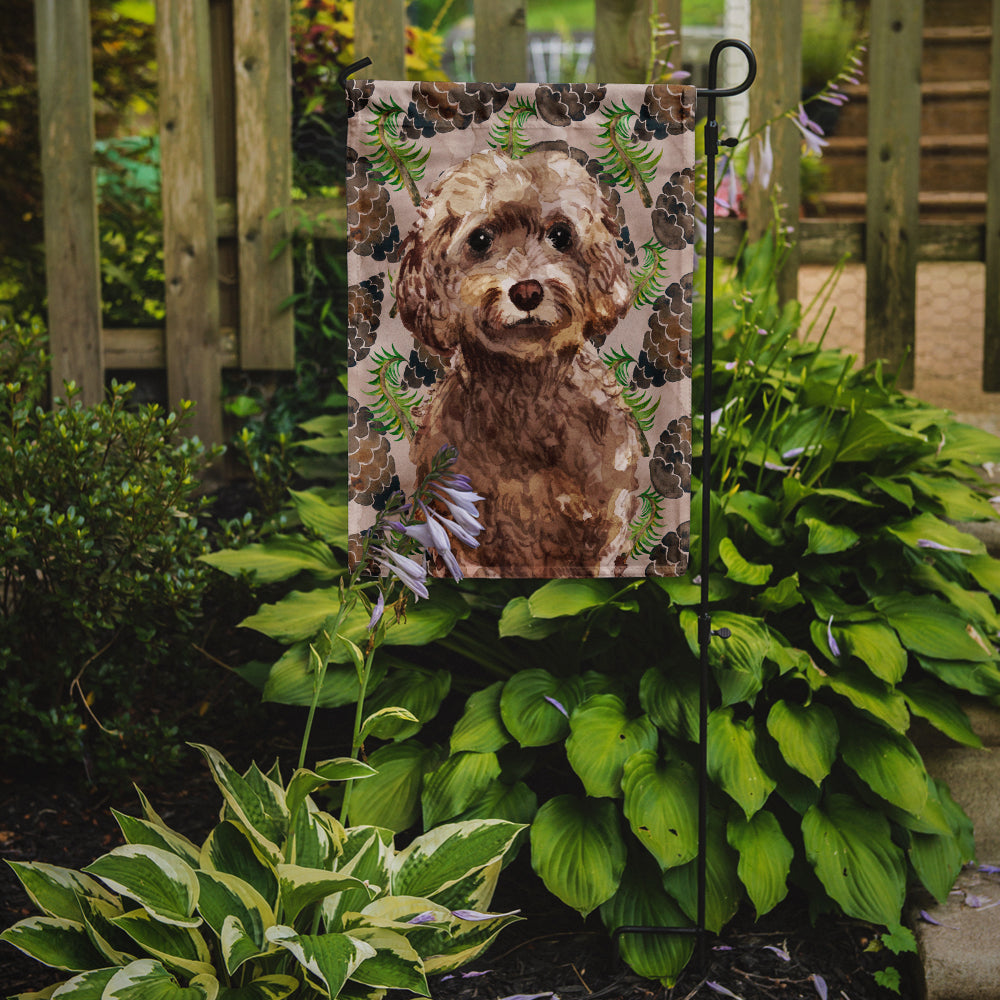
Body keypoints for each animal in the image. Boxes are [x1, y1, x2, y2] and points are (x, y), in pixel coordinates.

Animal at [396, 145, 640, 576]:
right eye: (480, 239)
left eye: (561, 235)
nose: (527, 291)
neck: (525, 391)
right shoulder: (465, 536)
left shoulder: (602, 528)